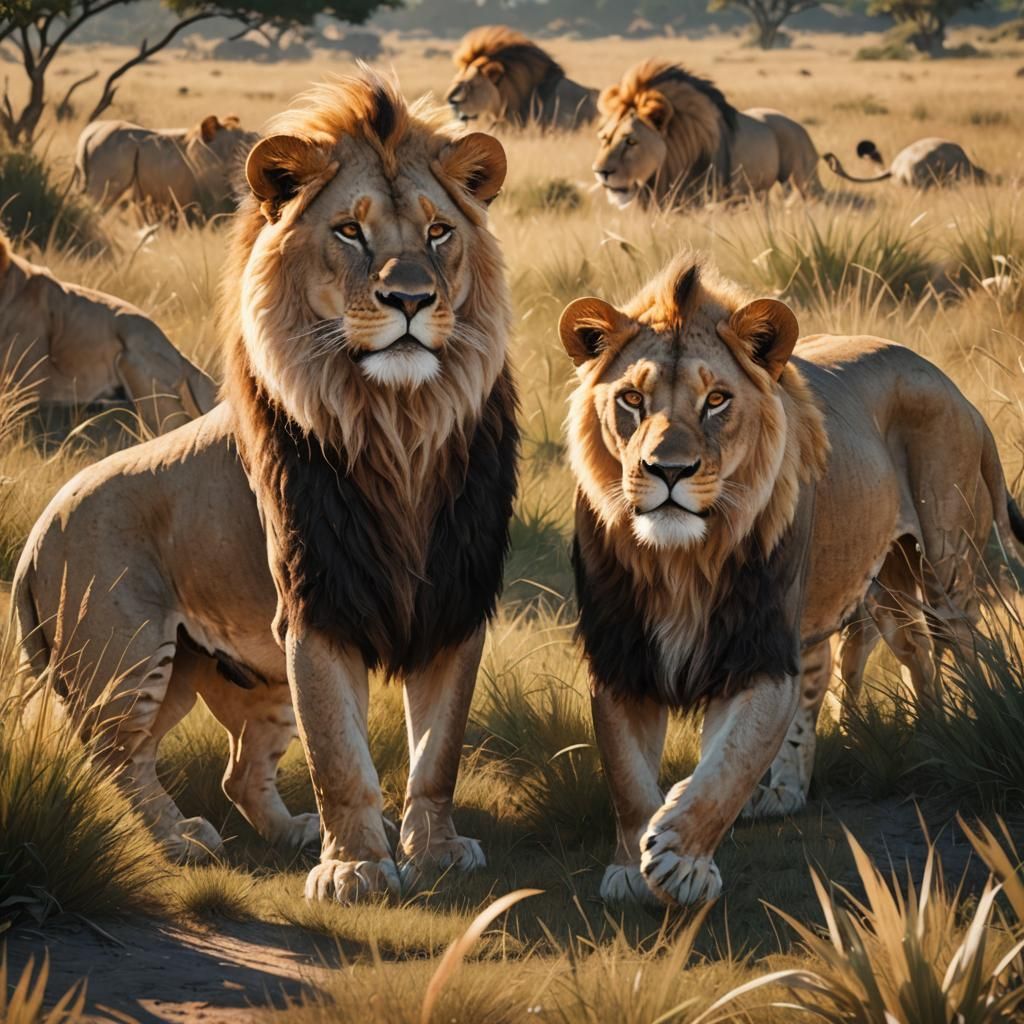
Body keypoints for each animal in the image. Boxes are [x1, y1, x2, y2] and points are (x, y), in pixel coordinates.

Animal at [560, 252, 1023, 908]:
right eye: (630, 399)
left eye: (717, 400)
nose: (668, 470)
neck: (681, 560)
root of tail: (952, 385)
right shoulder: (621, 652)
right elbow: (627, 774)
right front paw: (631, 865)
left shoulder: (759, 649)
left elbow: (730, 763)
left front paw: (681, 858)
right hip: (879, 586)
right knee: (886, 655)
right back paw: (812, 778)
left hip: (944, 566)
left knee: (964, 648)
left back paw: (957, 728)